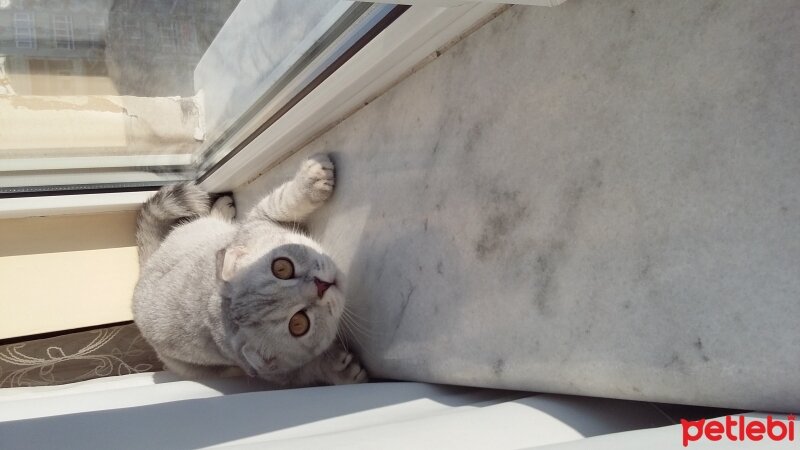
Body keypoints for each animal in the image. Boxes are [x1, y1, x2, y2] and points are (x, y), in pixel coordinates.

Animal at [132, 155, 368, 386]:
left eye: (281, 267)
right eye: (298, 324)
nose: (322, 285)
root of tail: (142, 274)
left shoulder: (257, 220)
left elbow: (281, 202)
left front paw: (314, 178)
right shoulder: (282, 377)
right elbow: (308, 371)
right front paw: (338, 369)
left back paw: (222, 209)